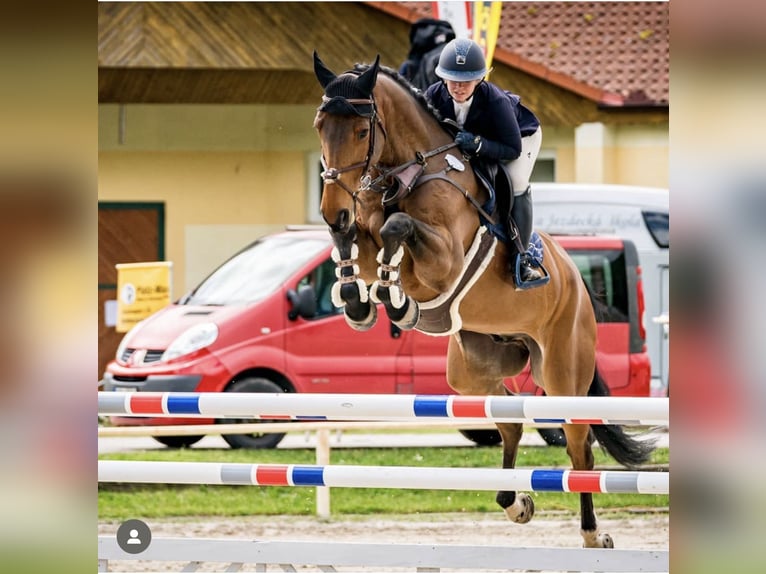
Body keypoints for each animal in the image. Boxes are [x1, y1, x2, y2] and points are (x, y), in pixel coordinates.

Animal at [312, 53, 656, 548]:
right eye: (320, 125)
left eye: (361, 131)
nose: (332, 209)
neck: (406, 176)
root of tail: (577, 279)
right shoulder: (363, 232)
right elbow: (353, 242)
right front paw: (357, 301)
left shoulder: (442, 260)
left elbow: (399, 228)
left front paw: (397, 303)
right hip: (473, 366)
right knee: (510, 419)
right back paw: (515, 503)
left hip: (561, 370)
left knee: (580, 447)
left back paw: (593, 535)